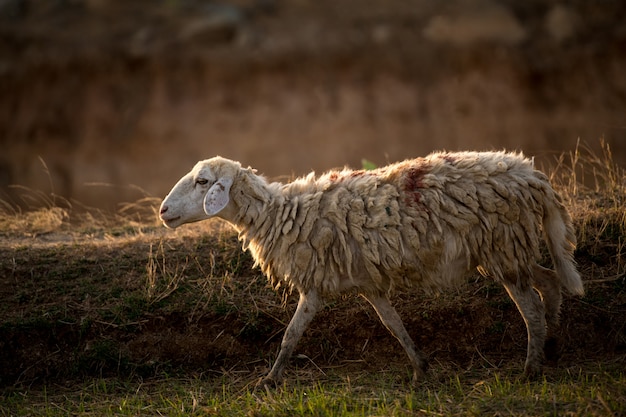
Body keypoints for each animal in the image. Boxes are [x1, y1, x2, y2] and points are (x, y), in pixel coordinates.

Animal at [158, 151, 584, 386]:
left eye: (203, 181)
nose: (162, 212)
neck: (281, 214)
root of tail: (534, 177)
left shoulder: (314, 285)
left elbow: (291, 335)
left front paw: (269, 380)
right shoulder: (369, 283)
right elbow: (393, 325)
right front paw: (420, 368)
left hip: (502, 246)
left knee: (531, 307)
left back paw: (531, 366)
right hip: (512, 249)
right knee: (549, 281)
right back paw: (553, 343)